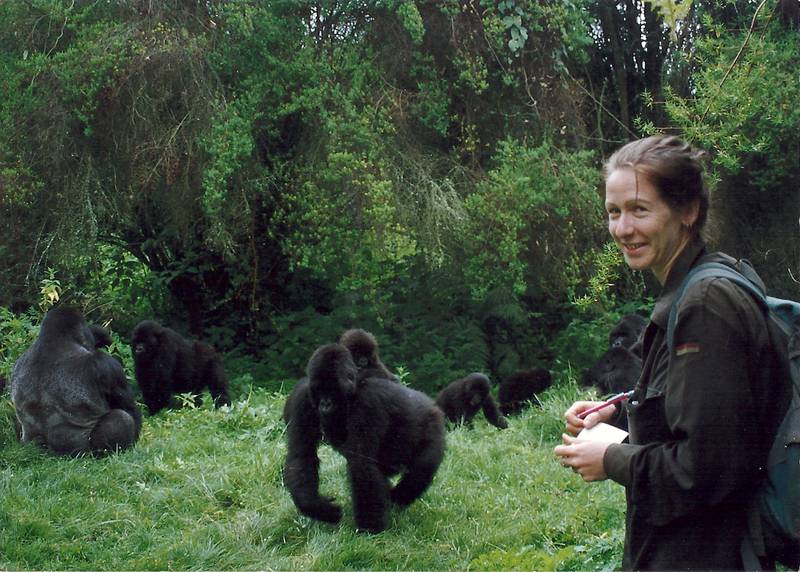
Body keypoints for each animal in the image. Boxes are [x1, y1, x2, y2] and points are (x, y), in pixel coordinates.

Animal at [282, 342, 446, 536]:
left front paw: (370, 529)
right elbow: (301, 455)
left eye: (332, 390)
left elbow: (361, 464)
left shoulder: (368, 403)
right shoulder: (303, 397)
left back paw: (397, 498)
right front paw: (317, 508)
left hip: (433, 425)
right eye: (320, 390)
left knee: (421, 470)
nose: (325, 404)